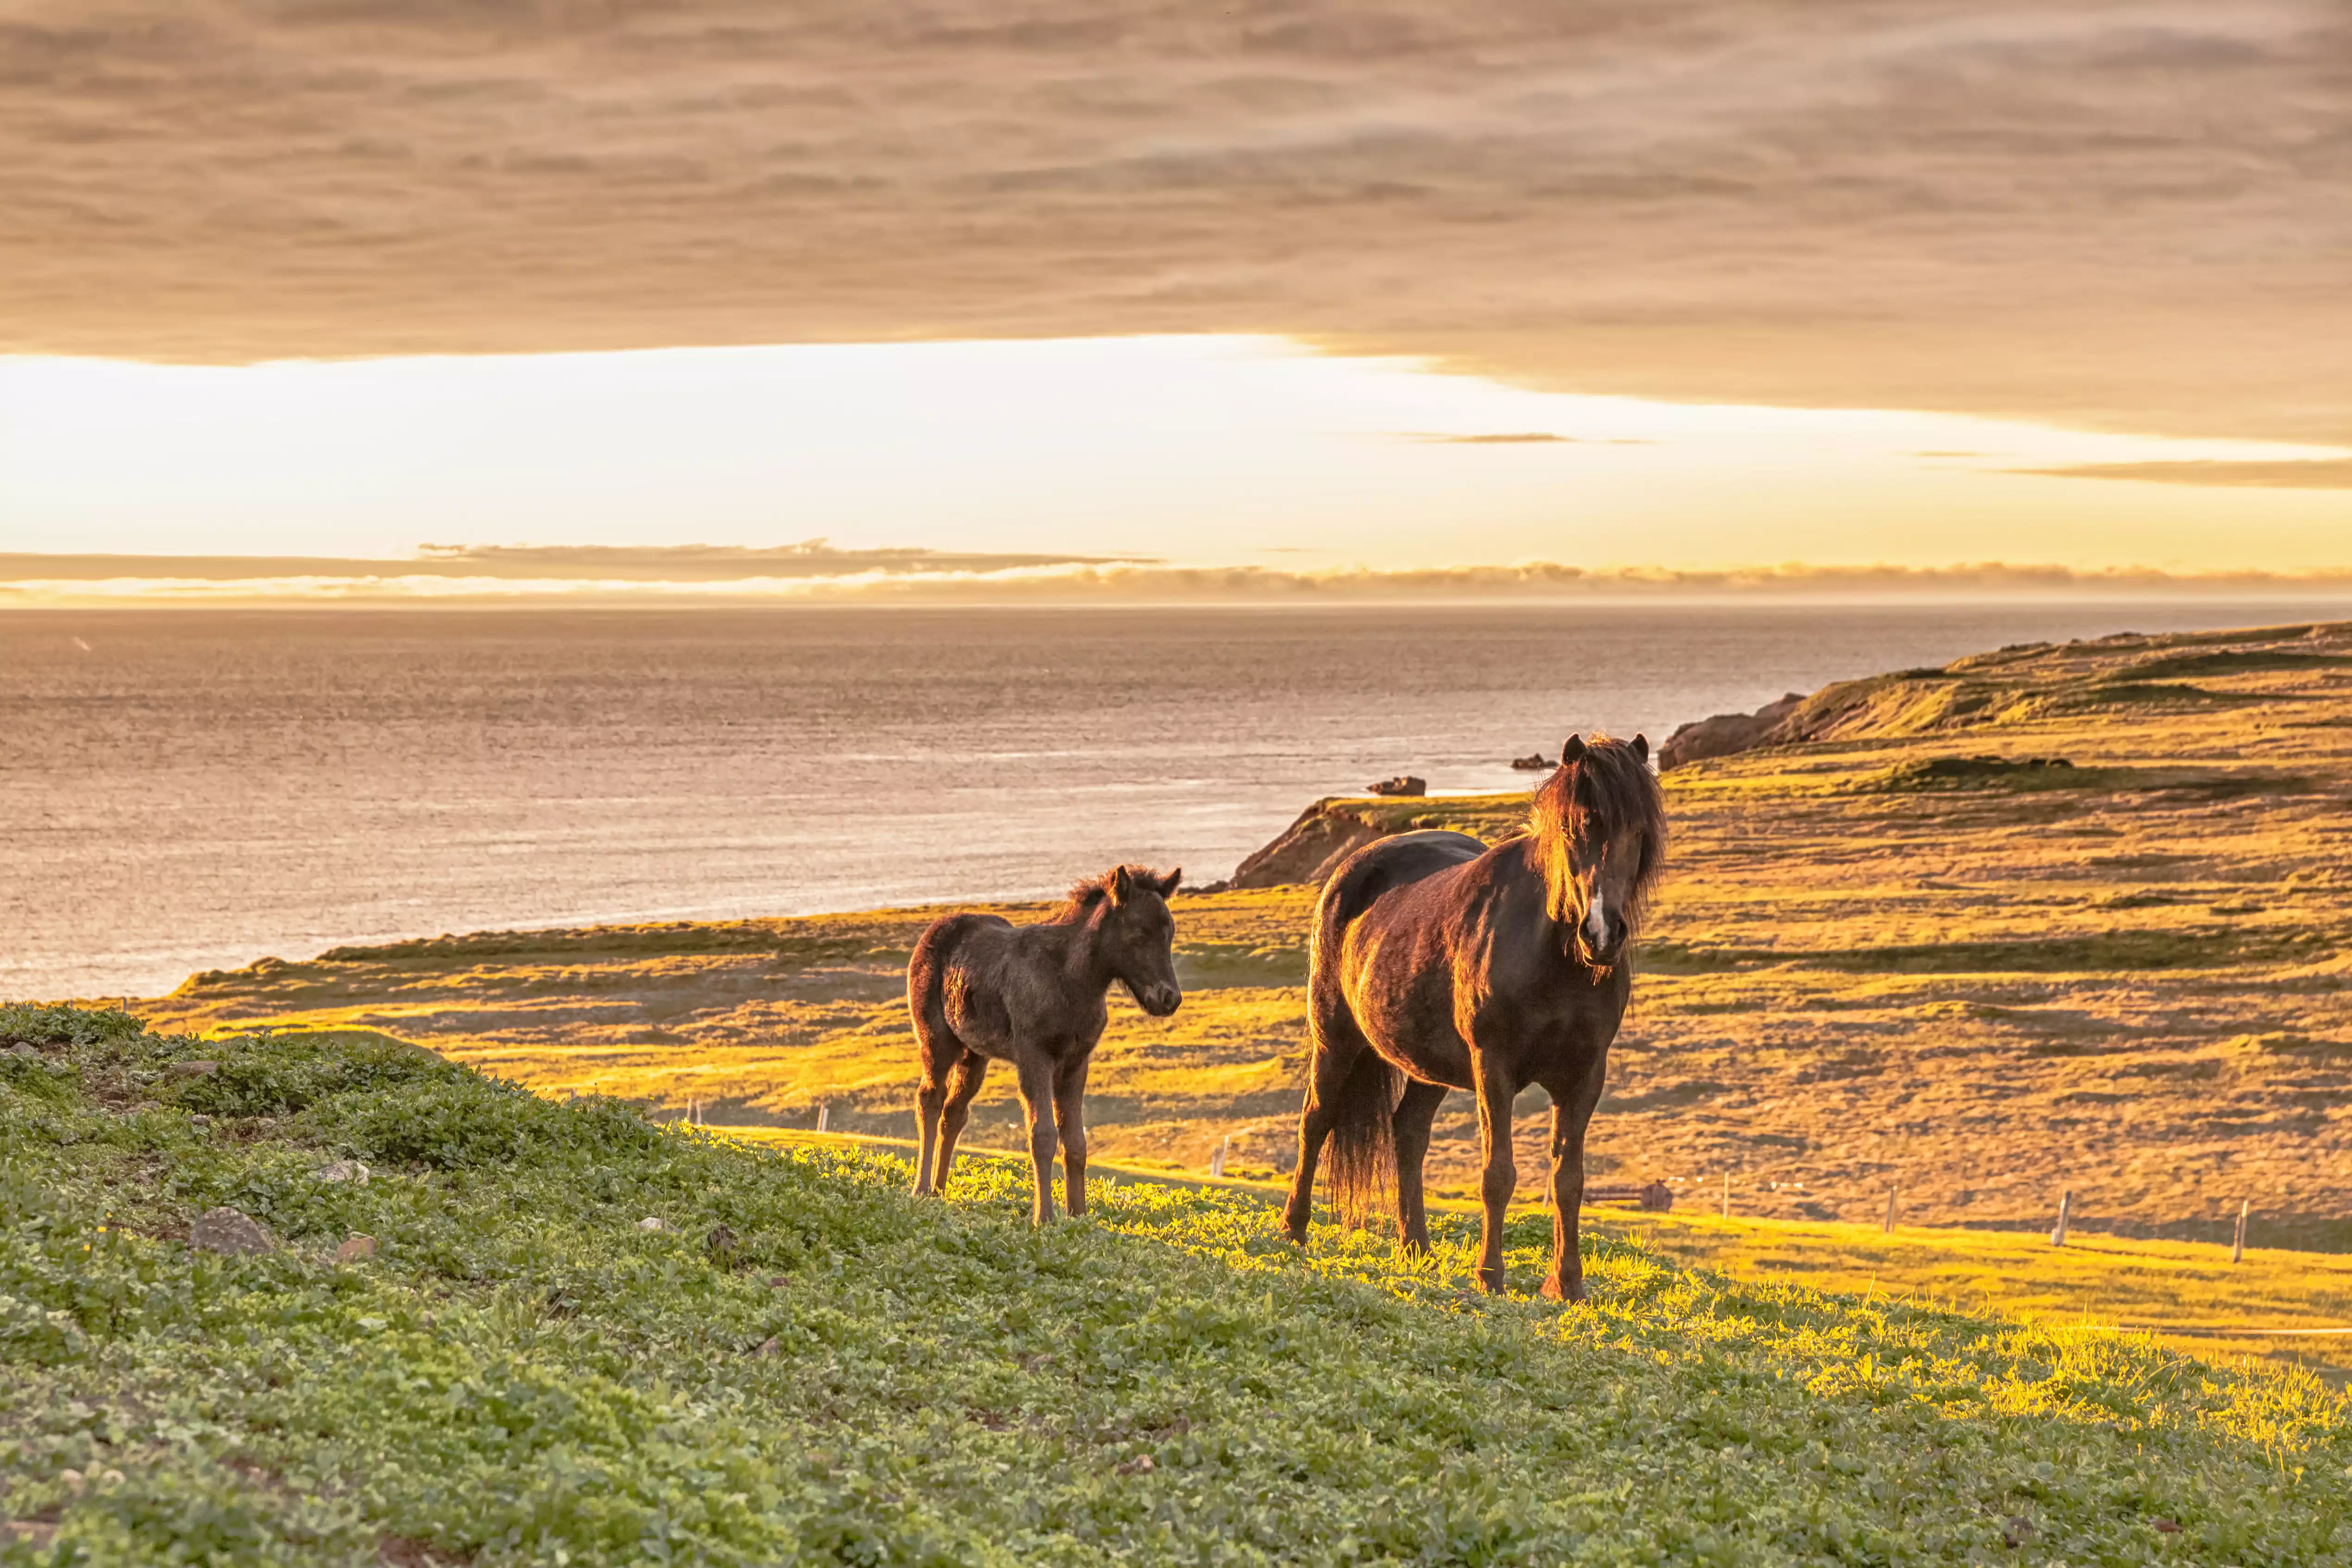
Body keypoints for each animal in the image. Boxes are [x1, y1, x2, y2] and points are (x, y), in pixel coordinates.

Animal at [907, 869, 1185, 1222]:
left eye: (1170, 933)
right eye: (1137, 934)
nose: (1169, 998)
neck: (1072, 981)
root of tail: (932, 932)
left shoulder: (1076, 1062)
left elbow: (1076, 1142)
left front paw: (1078, 1215)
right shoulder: (1034, 1055)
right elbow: (1042, 1135)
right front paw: (1044, 1218)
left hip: (975, 1054)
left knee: (954, 1113)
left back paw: (939, 1190)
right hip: (937, 1041)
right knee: (929, 1100)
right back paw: (920, 1189)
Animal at [1289, 738, 1674, 1298]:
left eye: (1639, 832)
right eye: (1573, 828)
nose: (1602, 934)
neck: (1552, 956)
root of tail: (1352, 869)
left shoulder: (1585, 1076)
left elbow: (1569, 1180)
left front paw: (1567, 1284)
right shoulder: (1494, 1067)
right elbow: (1498, 1173)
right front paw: (1490, 1275)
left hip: (1428, 1065)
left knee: (1408, 1133)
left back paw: (1415, 1247)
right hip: (1336, 1040)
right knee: (1316, 1121)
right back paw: (1294, 1230)